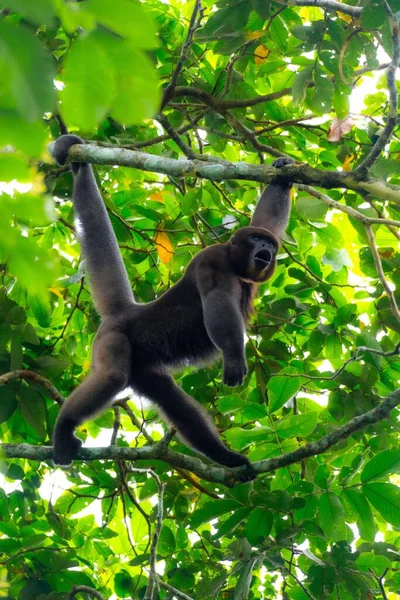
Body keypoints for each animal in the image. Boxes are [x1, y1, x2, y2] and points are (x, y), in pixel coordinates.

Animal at [51, 136, 292, 478]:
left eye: (269, 243)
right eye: (257, 242)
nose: (266, 249)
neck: (235, 265)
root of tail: (126, 311)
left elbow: (269, 217)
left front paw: (282, 172)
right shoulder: (211, 260)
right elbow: (218, 304)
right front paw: (234, 358)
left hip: (144, 369)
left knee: (174, 403)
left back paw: (223, 456)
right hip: (112, 338)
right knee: (111, 377)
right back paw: (64, 428)